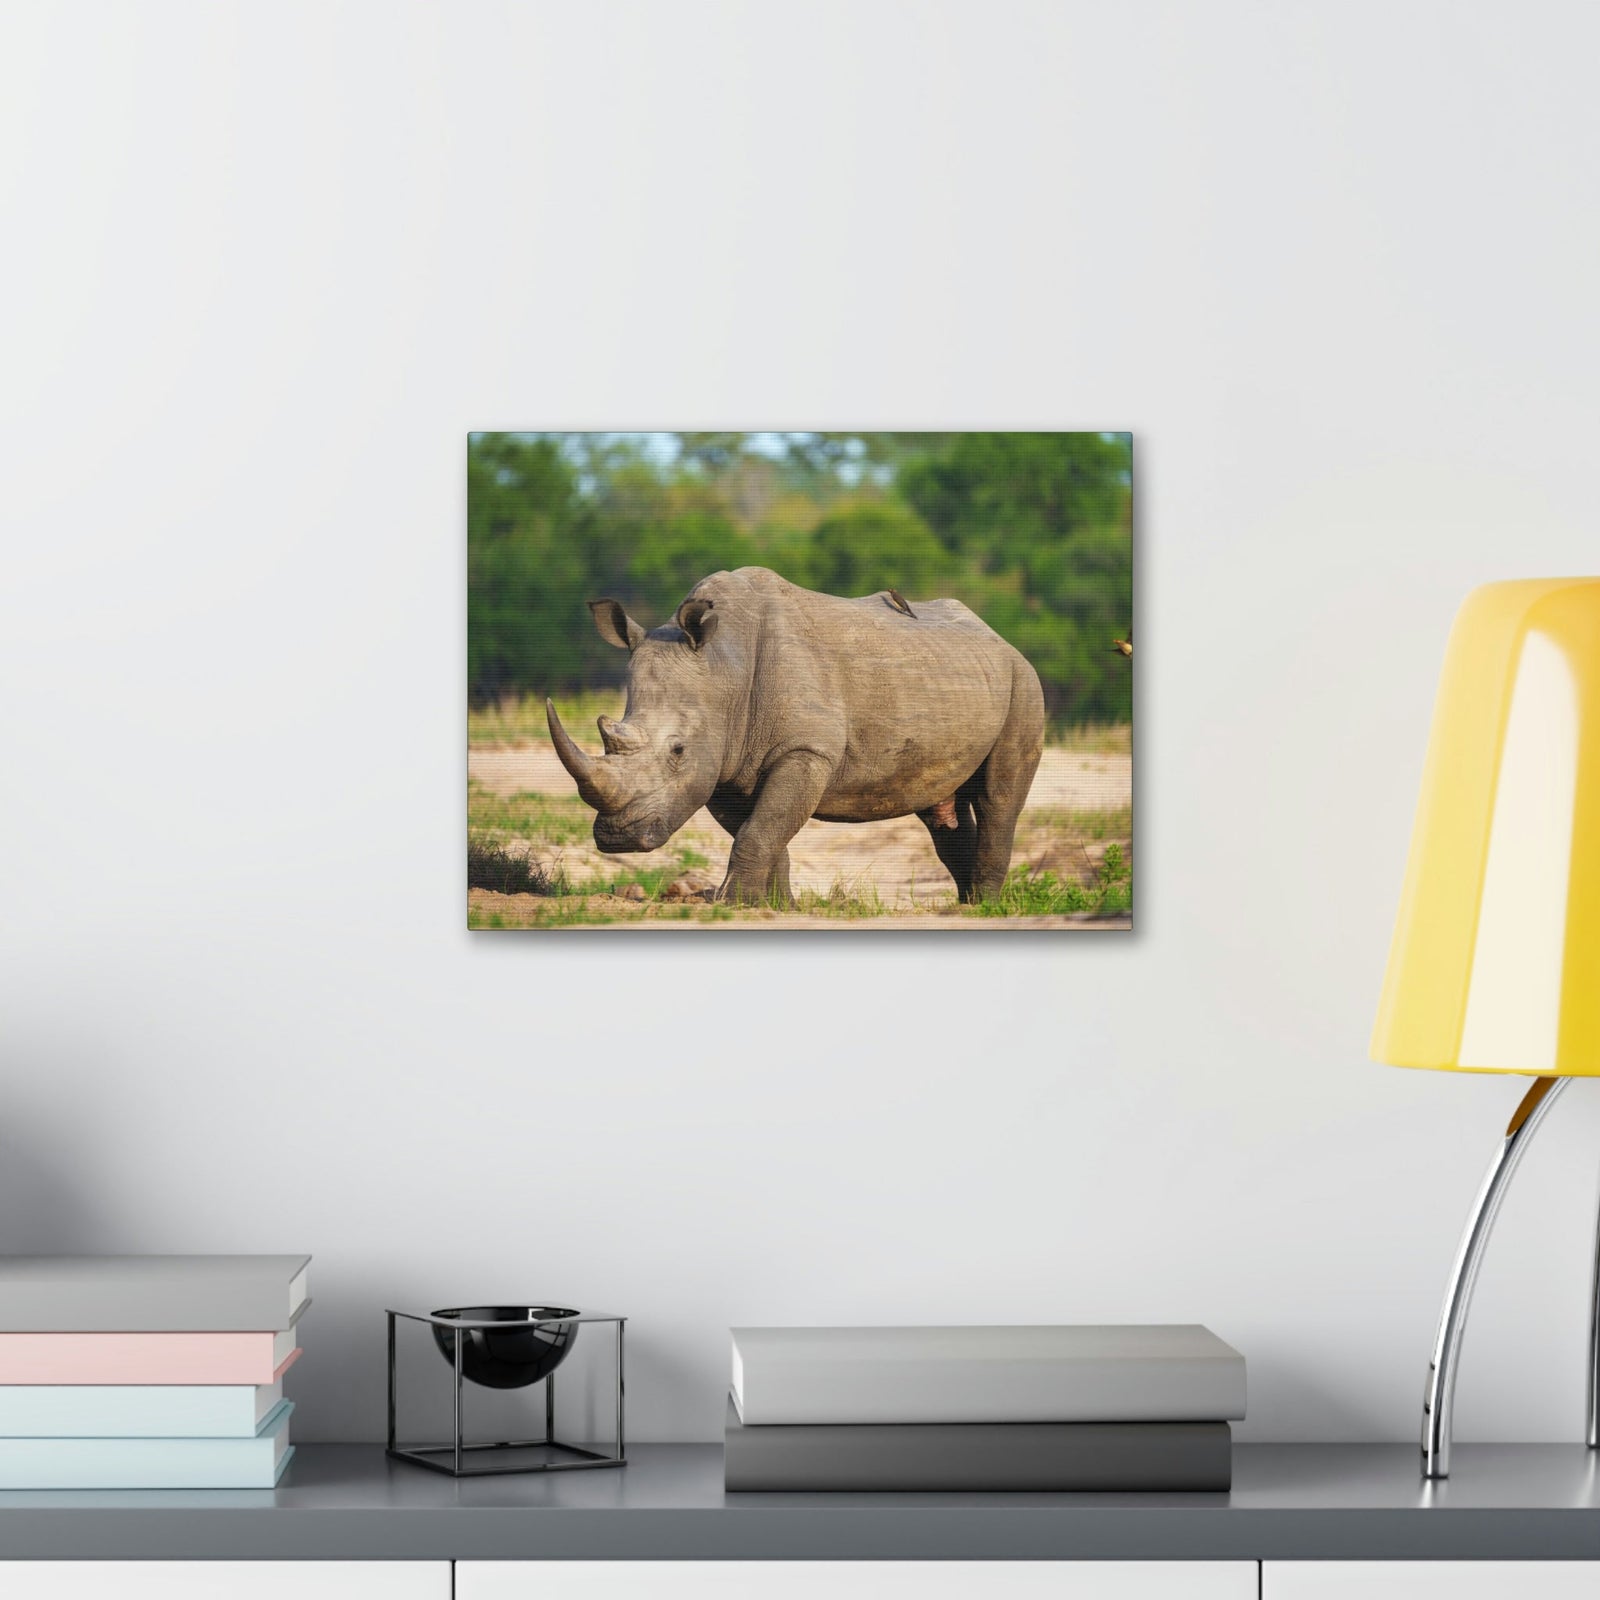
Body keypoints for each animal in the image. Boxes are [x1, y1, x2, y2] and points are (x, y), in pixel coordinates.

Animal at [545, 566, 1045, 906]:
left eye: (678, 750)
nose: (618, 838)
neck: (724, 666)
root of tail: (997, 636)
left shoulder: (805, 750)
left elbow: (761, 828)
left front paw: (732, 903)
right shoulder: (724, 764)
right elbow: (762, 829)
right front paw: (771, 905)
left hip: (1023, 681)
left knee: (999, 799)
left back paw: (986, 907)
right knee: (941, 812)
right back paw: (965, 905)